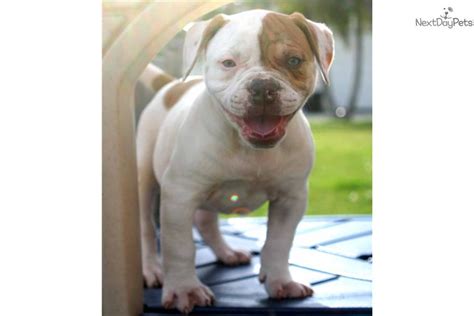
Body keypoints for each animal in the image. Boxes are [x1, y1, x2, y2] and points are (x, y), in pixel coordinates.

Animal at [135, 9, 336, 314]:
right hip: (145, 179)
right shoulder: (180, 195)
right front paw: (185, 290)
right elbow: (179, 246)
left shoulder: (291, 198)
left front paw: (281, 282)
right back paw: (150, 270)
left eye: (293, 61)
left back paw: (227, 253)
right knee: (147, 228)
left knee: (206, 220)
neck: (249, 149)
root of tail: (170, 87)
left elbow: (279, 242)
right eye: (228, 63)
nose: (263, 87)